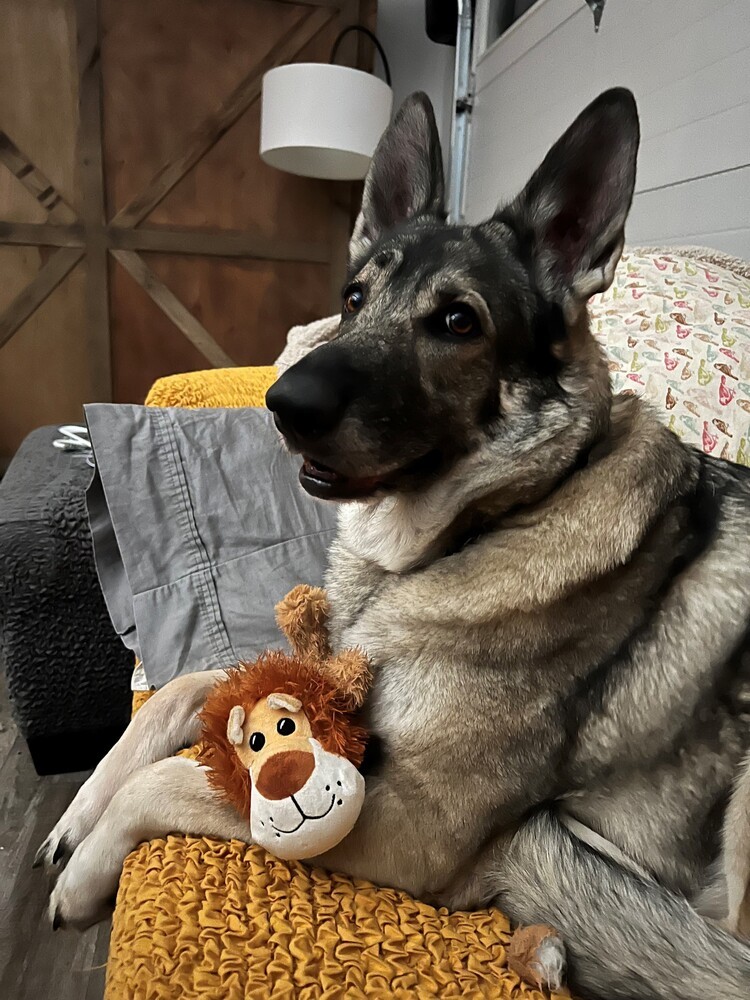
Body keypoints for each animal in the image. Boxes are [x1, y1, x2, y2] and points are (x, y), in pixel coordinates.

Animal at [36, 90, 750, 996]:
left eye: (457, 321)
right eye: (352, 298)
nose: (283, 403)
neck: (490, 520)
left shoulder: (406, 820)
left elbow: (183, 778)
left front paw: (87, 869)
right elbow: (185, 690)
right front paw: (81, 811)